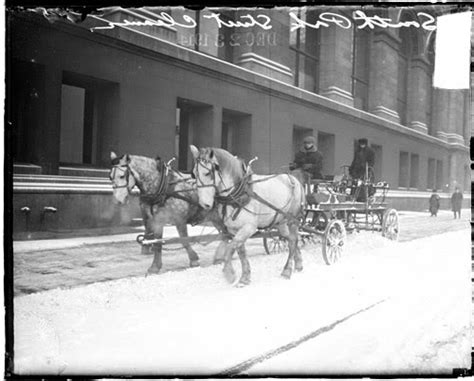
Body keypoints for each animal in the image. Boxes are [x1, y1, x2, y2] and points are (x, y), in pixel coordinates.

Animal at [191, 145, 306, 284]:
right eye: (194, 173)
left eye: (207, 173)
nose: (204, 204)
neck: (239, 192)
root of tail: (294, 180)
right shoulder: (234, 229)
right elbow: (240, 251)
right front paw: (245, 277)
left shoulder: (249, 227)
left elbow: (230, 247)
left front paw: (229, 273)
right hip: (281, 222)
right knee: (291, 239)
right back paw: (298, 264)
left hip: (292, 219)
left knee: (293, 240)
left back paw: (287, 270)